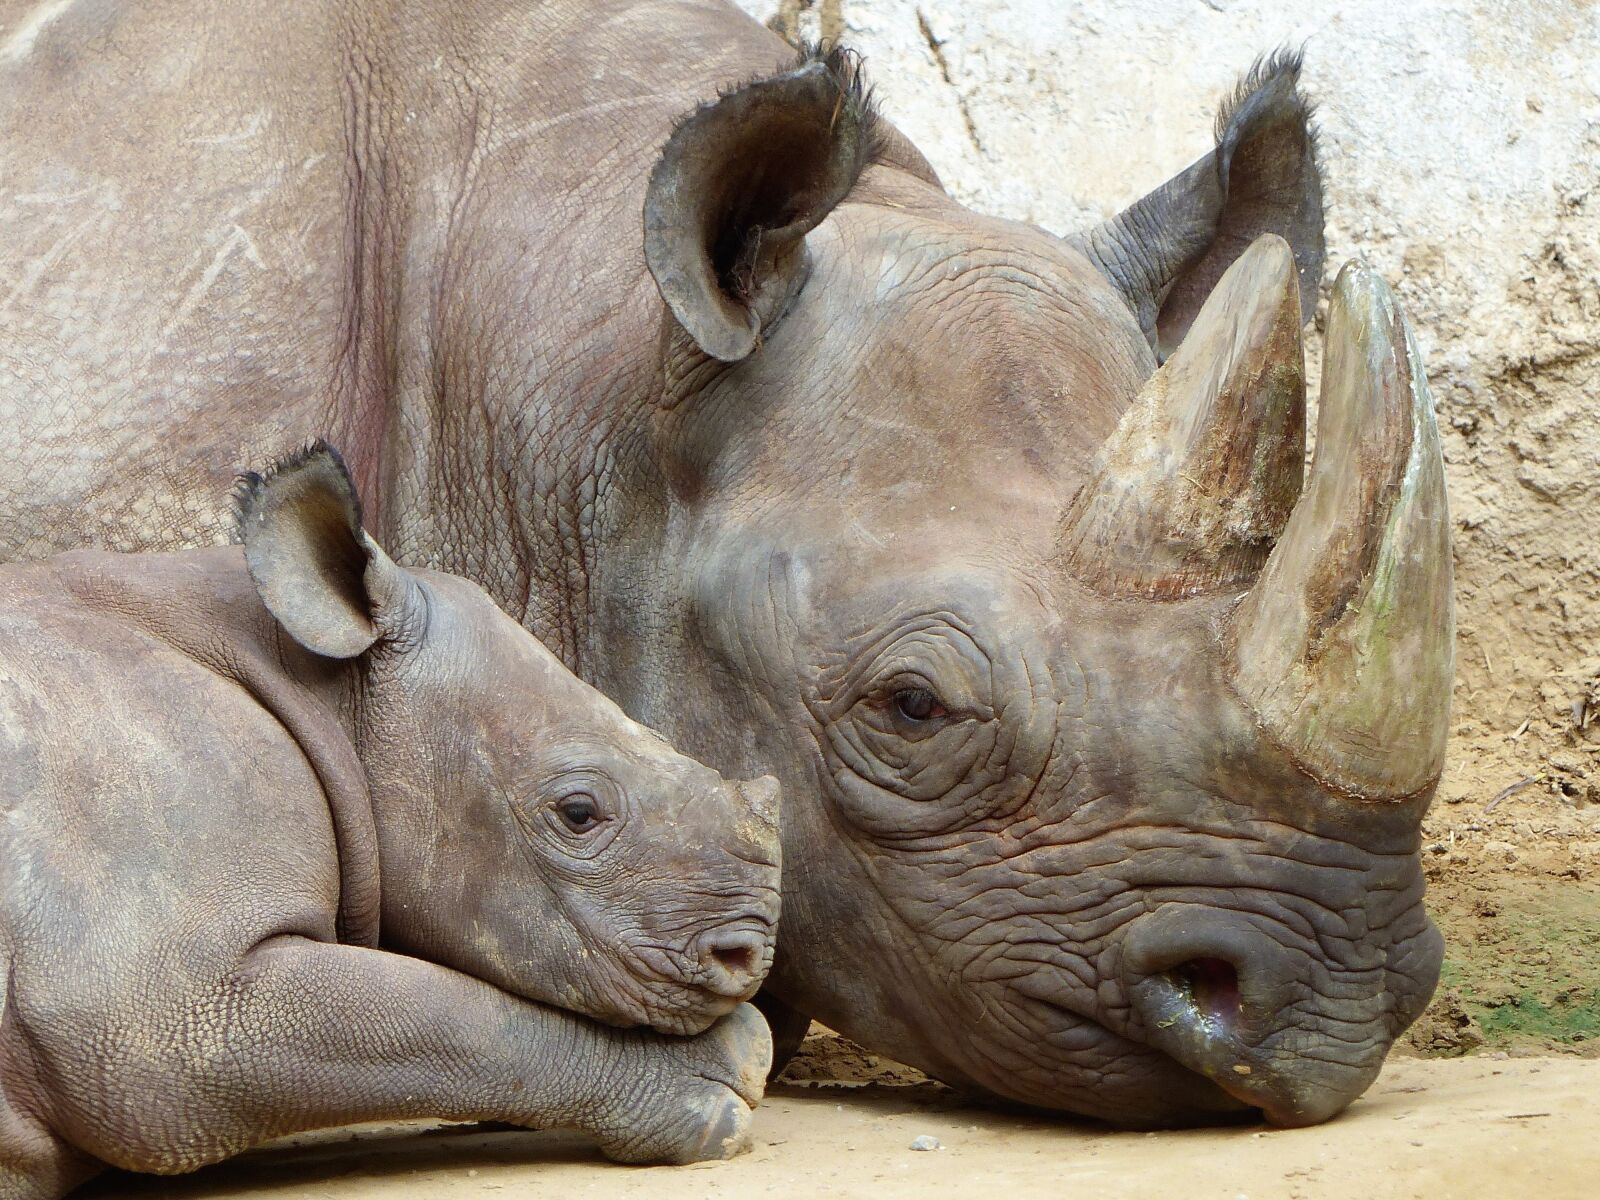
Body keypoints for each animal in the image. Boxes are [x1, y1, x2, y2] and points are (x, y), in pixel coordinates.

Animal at [0, 445, 782, 1199]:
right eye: (579, 813)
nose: (749, 955)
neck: (322, 683)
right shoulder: (162, 1010)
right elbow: (463, 1021)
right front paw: (725, 1076)